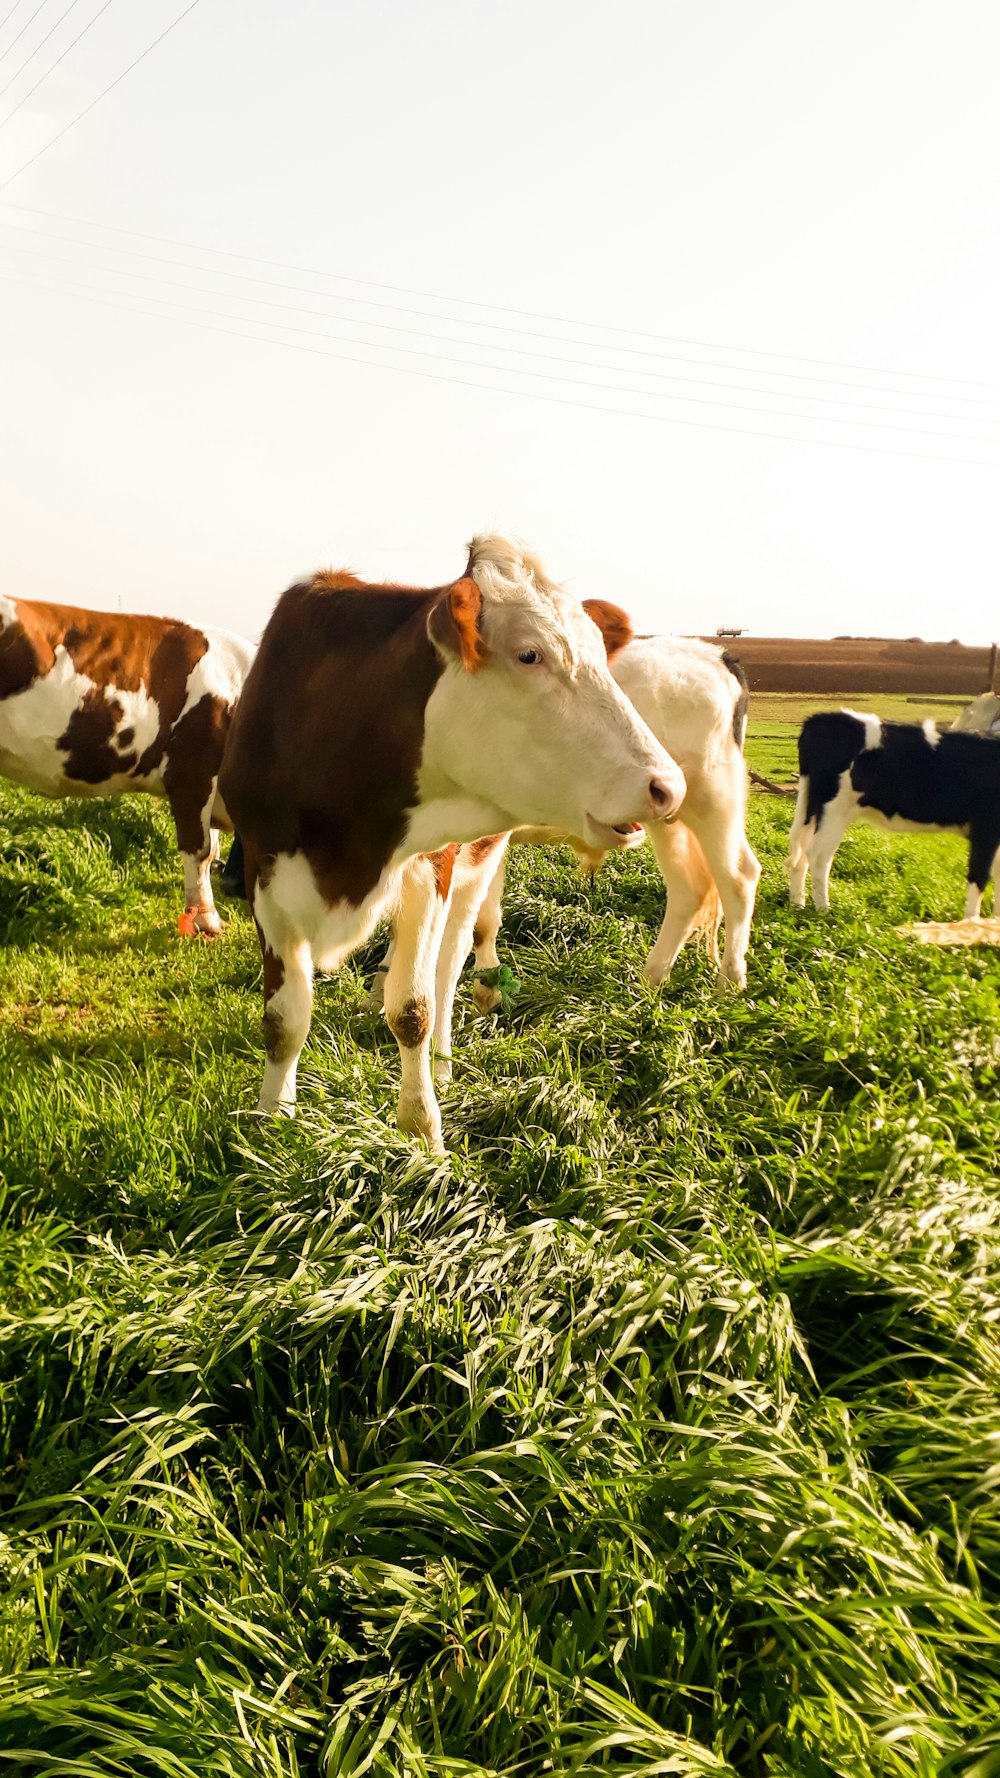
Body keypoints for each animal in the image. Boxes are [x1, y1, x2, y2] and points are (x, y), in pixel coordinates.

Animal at [217, 533, 683, 1145]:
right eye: (529, 654)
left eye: (602, 657)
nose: (667, 786)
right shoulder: (264, 870)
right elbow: (284, 1015)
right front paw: (273, 1120)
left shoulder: (429, 867)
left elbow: (413, 1008)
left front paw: (421, 1129)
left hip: (472, 875)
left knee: (449, 966)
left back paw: (441, 1061)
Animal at [786, 704, 996, 917]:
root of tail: (818, 719)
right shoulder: (986, 828)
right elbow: (979, 878)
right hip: (834, 809)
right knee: (818, 855)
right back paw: (824, 911)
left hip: (812, 807)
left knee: (800, 854)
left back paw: (798, 905)